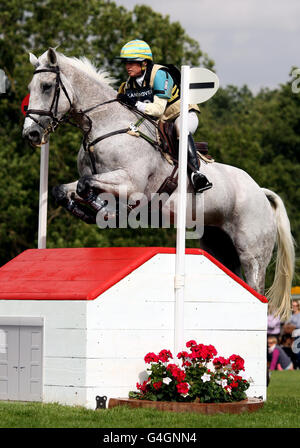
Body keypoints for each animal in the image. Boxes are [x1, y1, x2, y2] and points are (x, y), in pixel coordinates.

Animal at [23, 49, 296, 320]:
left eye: (46, 86)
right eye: (30, 87)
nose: (31, 135)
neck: (104, 126)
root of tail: (260, 192)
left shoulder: (131, 184)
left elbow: (85, 185)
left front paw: (107, 211)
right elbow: (65, 189)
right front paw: (90, 210)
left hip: (253, 254)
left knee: (256, 287)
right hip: (219, 247)